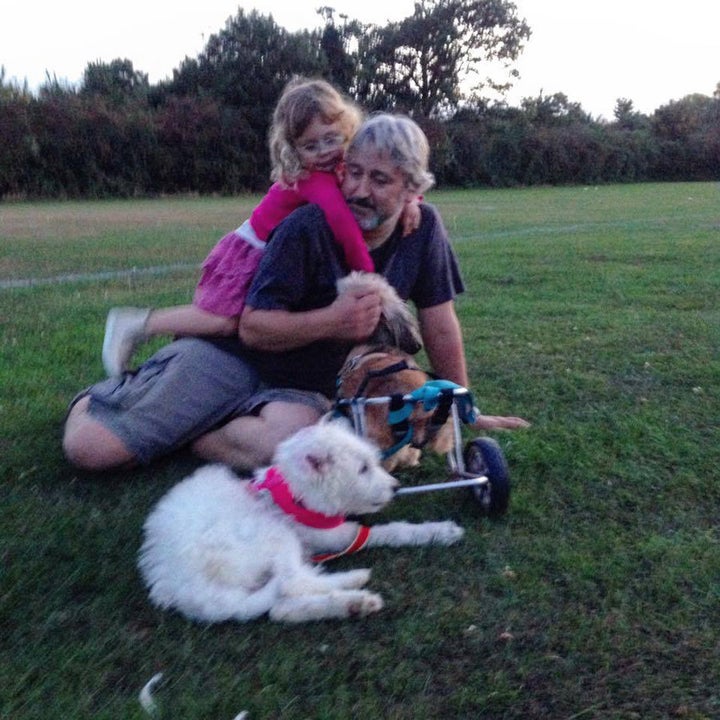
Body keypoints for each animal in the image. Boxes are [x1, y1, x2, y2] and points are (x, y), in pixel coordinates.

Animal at [138, 422, 464, 624]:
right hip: (269, 534)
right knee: (291, 582)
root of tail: (184, 587)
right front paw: (439, 531)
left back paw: (351, 604)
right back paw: (352, 581)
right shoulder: (333, 534)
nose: (396, 488)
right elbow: (388, 531)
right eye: (362, 469)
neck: (296, 494)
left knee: (280, 608)